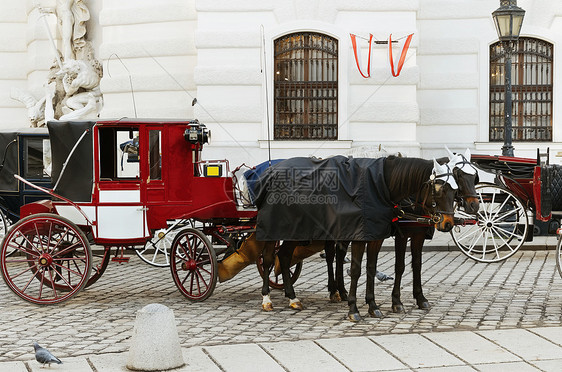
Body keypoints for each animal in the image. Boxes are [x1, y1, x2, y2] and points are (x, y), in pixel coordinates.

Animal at [254, 155, 460, 312]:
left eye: (455, 191)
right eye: (439, 190)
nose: (448, 223)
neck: (381, 186)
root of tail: (271, 171)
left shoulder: (377, 236)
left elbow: (372, 268)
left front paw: (372, 305)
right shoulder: (364, 236)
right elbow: (356, 269)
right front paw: (355, 308)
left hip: (295, 231)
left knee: (284, 256)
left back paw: (293, 297)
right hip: (275, 230)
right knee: (269, 259)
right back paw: (267, 298)